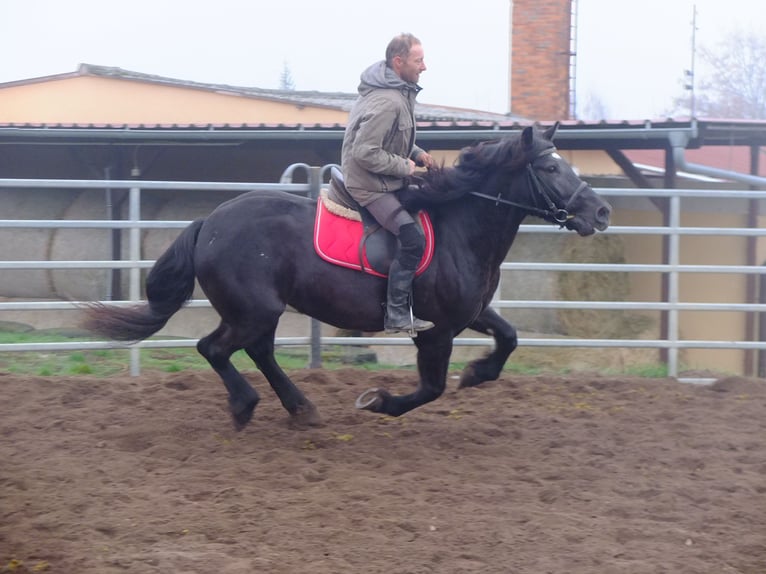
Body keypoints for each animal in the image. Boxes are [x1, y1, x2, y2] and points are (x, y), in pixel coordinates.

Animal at [82, 126, 612, 430]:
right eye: (549, 167)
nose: (602, 212)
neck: (461, 227)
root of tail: (208, 224)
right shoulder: (435, 331)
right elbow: (431, 388)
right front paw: (379, 401)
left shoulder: (472, 313)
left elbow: (509, 338)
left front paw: (478, 373)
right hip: (254, 310)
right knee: (215, 349)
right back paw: (247, 406)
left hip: (259, 311)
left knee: (256, 351)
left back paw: (300, 409)